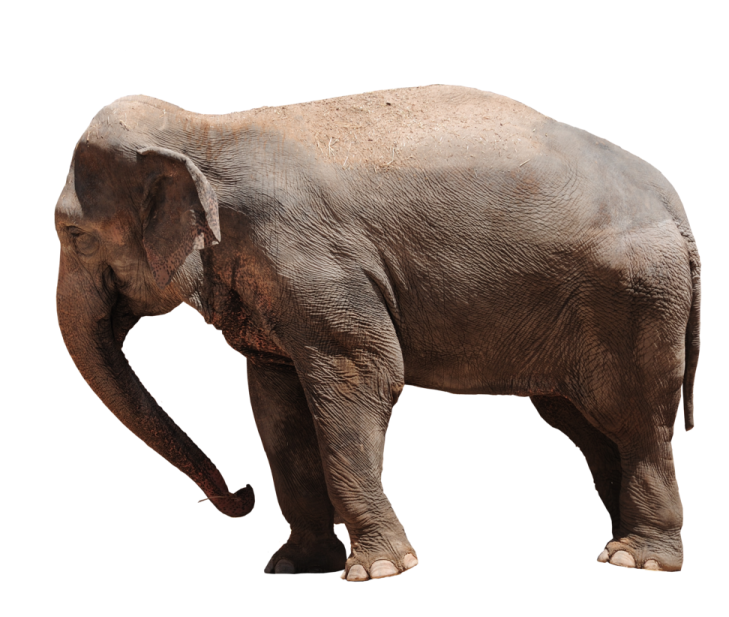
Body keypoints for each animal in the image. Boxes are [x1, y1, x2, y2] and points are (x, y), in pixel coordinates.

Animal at [54, 84, 700, 578]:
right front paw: (291, 566)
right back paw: (617, 545)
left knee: (633, 417)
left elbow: (362, 379)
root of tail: (671, 197)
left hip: (636, 295)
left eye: (73, 237)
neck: (203, 133)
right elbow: (277, 410)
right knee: (585, 424)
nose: (240, 497)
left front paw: (379, 569)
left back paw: (637, 561)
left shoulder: (316, 262)